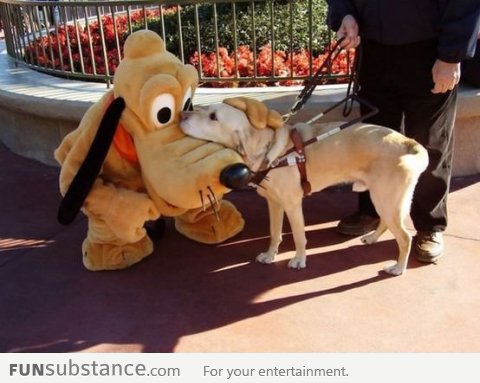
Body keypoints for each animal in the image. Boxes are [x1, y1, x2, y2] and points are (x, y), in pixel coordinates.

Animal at [180, 97, 428, 276]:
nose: (182, 114)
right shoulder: (274, 203)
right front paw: (270, 255)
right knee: (387, 224)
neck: (272, 149)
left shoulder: (292, 204)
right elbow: (274, 233)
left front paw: (299, 260)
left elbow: (299, 236)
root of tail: (407, 142)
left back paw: (398, 268)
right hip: (385, 200)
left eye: (213, 116)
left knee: (405, 237)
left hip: (385, 199)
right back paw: (372, 239)